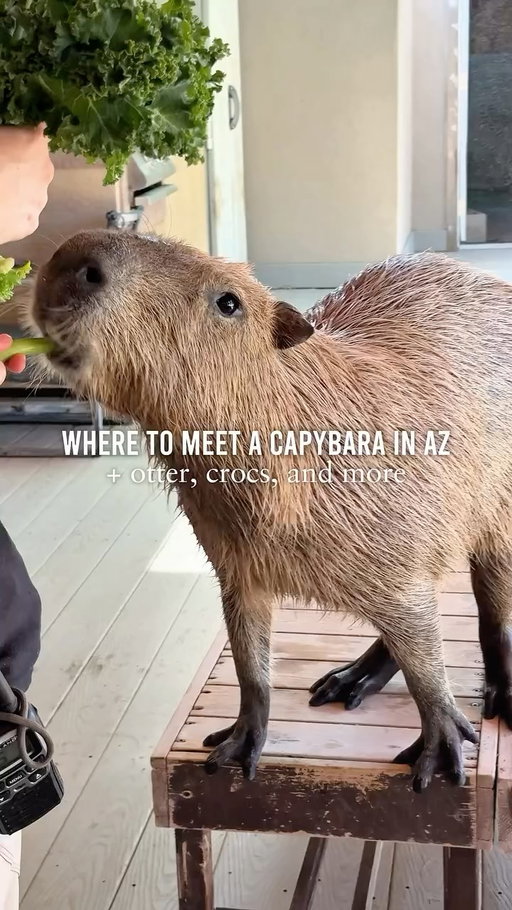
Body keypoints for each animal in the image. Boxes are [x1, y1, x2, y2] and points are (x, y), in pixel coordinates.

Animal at [29, 230, 512, 792]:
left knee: (490, 612)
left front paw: (440, 748)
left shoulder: (402, 552)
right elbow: (248, 657)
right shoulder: (236, 567)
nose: (74, 257)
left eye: (229, 302)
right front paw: (238, 742)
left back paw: (499, 695)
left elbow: (426, 660)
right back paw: (345, 680)